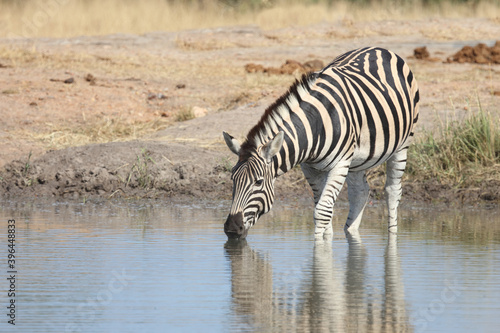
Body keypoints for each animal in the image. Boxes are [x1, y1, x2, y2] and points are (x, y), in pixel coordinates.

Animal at [223, 46, 418, 239]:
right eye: (233, 179)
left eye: (258, 182)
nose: (232, 228)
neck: (315, 125)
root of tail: (379, 48)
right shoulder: (310, 167)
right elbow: (323, 209)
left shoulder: (340, 164)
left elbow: (322, 212)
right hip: (357, 160)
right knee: (360, 193)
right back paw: (351, 232)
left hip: (402, 146)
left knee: (392, 192)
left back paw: (392, 235)